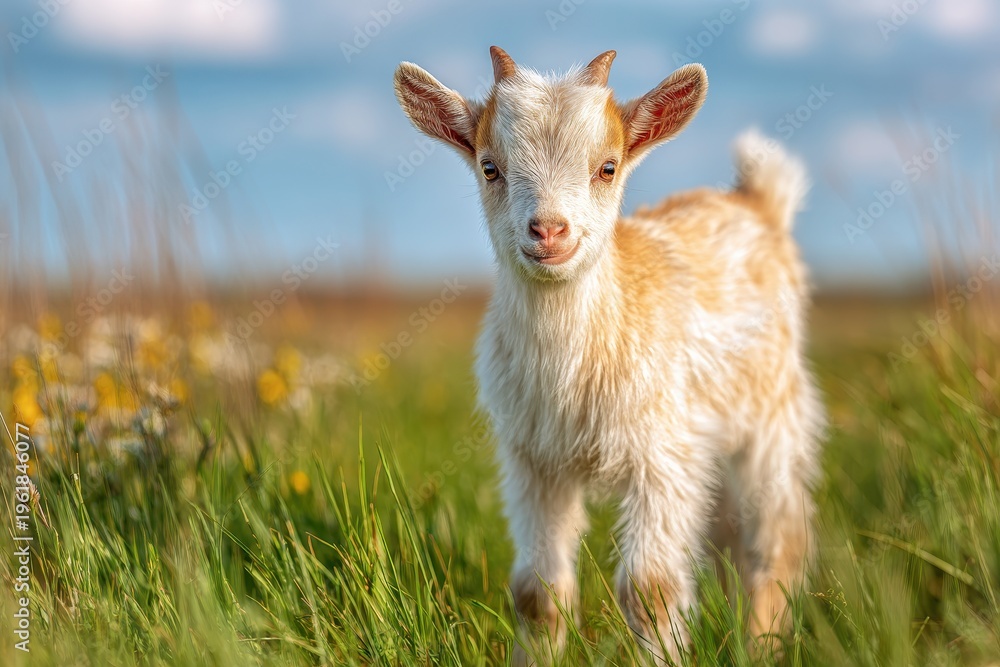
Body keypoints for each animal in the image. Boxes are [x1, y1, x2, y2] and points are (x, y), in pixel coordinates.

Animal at [394, 46, 823, 663]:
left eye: (608, 167)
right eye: (489, 166)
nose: (549, 231)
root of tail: (757, 201)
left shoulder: (662, 455)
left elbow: (650, 588)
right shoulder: (534, 462)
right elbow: (537, 591)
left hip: (772, 415)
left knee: (777, 541)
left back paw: (761, 644)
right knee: (728, 535)